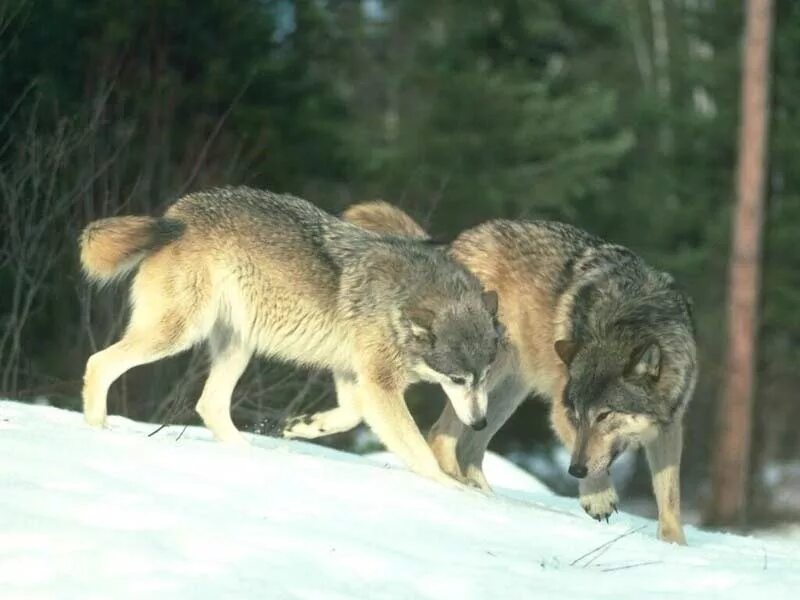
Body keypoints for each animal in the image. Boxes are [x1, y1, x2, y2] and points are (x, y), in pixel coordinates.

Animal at [79, 186, 500, 488]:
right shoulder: (379, 384)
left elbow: (349, 416)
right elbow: (419, 451)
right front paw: (457, 491)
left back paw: (248, 455)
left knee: (208, 405)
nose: (481, 424)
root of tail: (175, 215)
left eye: (484, 378)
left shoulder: (353, 374)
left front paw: (303, 425)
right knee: (98, 362)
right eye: (457, 380)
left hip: (238, 346)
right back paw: (97, 431)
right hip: (178, 334)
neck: (405, 297)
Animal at [334, 202, 696, 544]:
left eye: (605, 415)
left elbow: (671, 499)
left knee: (469, 449)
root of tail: (453, 243)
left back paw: (487, 497)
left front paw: (675, 545)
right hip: (485, 375)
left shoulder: (670, 426)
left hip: (508, 393)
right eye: (578, 416)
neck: (630, 319)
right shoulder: (559, 412)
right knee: (440, 434)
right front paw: (598, 497)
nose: (574, 470)